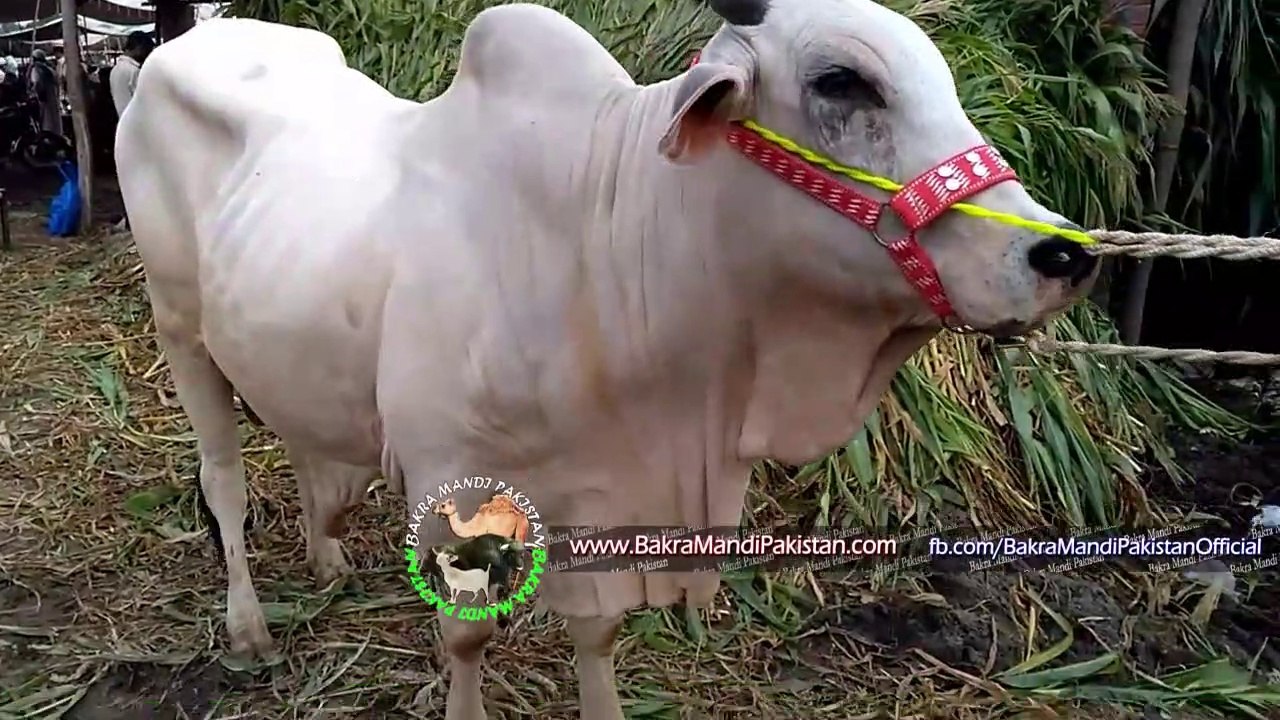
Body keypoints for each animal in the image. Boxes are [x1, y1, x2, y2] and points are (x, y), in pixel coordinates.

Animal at [114, 0, 1099, 717]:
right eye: (842, 81)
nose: (1062, 254)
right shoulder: (449, 489)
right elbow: (467, 637)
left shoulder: (598, 501)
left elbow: (596, 637)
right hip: (179, 326)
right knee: (223, 480)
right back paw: (248, 625)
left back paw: (325, 555)